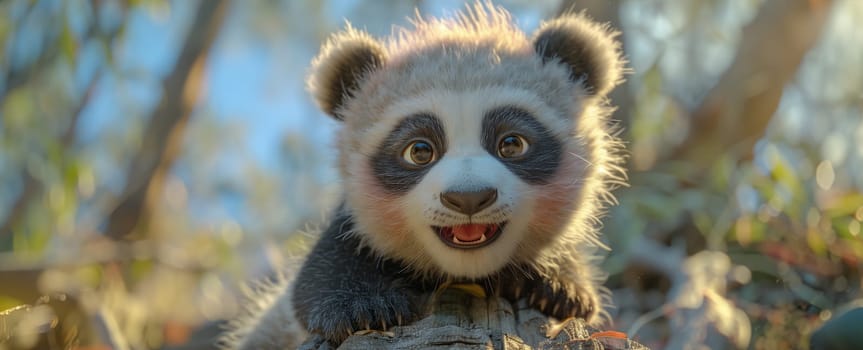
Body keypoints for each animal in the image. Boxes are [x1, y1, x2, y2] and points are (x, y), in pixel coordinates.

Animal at [223, 2, 624, 348]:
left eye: (512, 144)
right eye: (419, 150)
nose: (468, 198)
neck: (463, 275)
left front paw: (558, 290)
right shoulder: (349, 237)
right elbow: (320, 281)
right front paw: (365, 307)